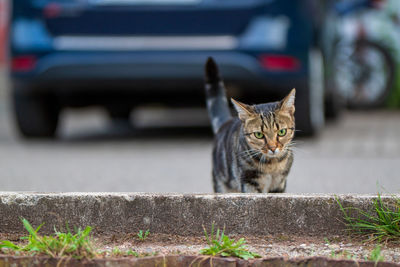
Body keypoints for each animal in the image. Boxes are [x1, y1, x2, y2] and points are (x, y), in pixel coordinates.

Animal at [205, 57, 296, 194]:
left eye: (282, 132)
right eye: (258, 135)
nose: (273, 148)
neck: (272, 165)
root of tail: (226, 123)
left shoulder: (279, 184)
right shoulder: (249, 182)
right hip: (222, 184)